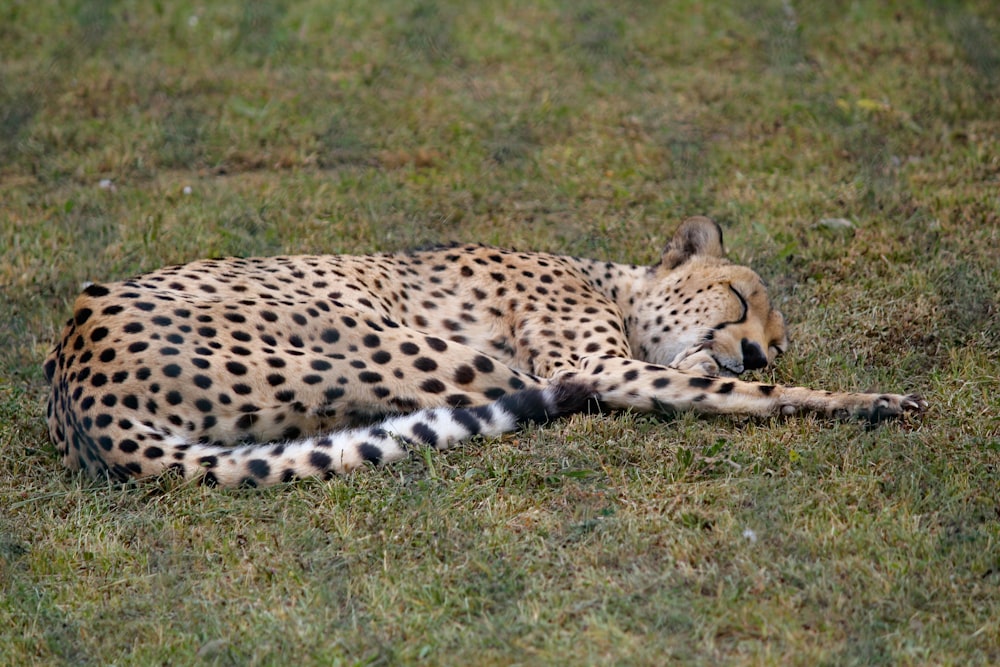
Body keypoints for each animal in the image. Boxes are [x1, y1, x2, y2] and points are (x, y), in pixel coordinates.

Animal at [43, 217, 924, 488]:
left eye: (776, 342)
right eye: (740, 301)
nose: (757, 353)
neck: (610, 283)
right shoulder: (593, 364)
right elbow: (741, 397)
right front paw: (872, 400)